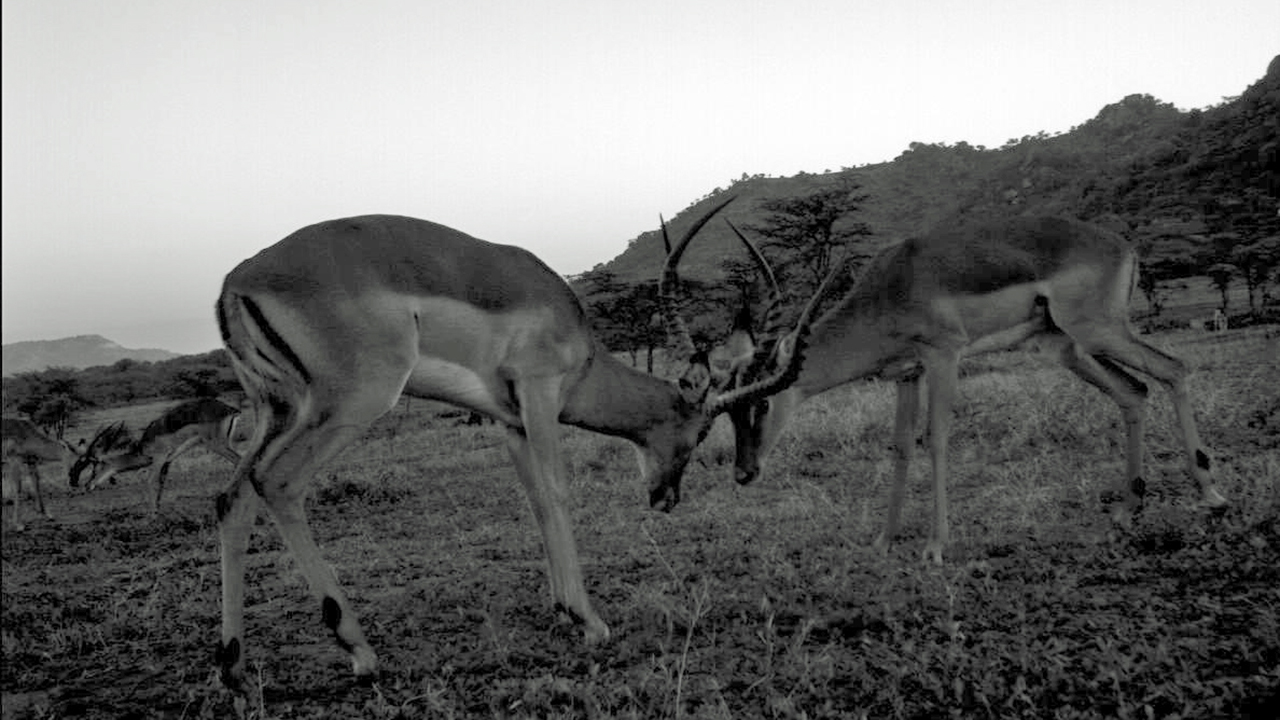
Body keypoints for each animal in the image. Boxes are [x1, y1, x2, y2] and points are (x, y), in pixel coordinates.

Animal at [70, 398, 244, 513]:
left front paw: (152, 516)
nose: (88, 486)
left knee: (239, 461)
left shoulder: (159, 459)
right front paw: (159, 510)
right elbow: (161, 484)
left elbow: (150, 482)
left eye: (96, 464)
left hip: (217, 445)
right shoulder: (167, 462)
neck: (142, 449)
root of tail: (230, 409)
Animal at [211, 198, 823, 694]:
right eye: (699, 431)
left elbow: (534, 500)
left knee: (232, 496)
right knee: (277, 483)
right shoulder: (539, 393)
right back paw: (359, 651)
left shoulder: (510, 422)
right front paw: (590, 620)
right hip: (351, 405)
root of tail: (234, 283)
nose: (665, 497)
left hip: (277, 409)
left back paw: (234, 668)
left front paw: (561, 608)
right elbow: (557, 492)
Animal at [726, 215, 1229, 563]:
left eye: (763, 402)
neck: (890, 287)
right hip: (1070, 348)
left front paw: (935, 546)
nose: (744, 473)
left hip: (1098, 332)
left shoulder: (943, 357)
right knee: (1134, 392)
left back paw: (1212, 498)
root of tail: (1122, 245)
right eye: (729, 415)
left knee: (1174, 368)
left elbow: (936, 440)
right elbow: (901, 447)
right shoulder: (907, 374)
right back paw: (1128, 511)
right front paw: (884, 540)